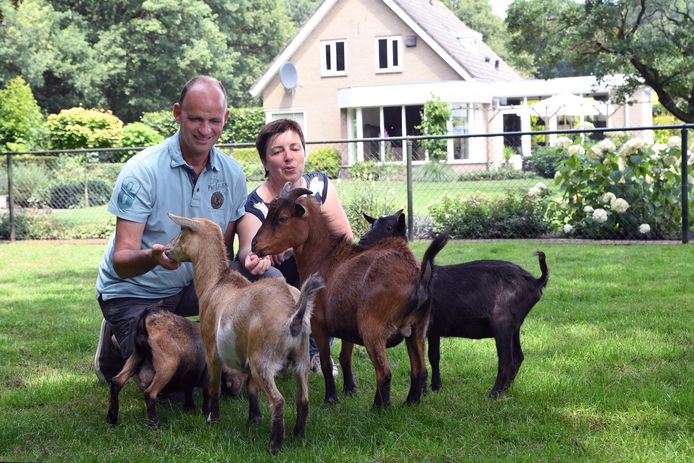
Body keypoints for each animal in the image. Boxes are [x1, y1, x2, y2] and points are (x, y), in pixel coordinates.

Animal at [166, 214, 324, 454]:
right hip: (300, 359)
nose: (167, 250)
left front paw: (212, 419)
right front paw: (254, 419)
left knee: (278, 401)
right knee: (303, 399)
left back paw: (275, 445)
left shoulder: (212, 350)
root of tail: (294, 311)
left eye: (182, 231)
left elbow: (213, 388)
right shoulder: (247, 358)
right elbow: (251, 389)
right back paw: (298, 436)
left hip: (264, 361)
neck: (215, 284)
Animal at [250, 185, 446, 410]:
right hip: (417, 329)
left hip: (372, 327)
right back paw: (409, 403)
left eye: (283, 218)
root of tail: (418, 277)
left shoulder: (318, 324)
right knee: (419, 370)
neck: (325, 259)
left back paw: (378, 408)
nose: (254, 244)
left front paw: (331, 399)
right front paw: (350, 390)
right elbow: (345, 357)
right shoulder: (345, 324)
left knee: (385, 373)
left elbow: (327, 363)